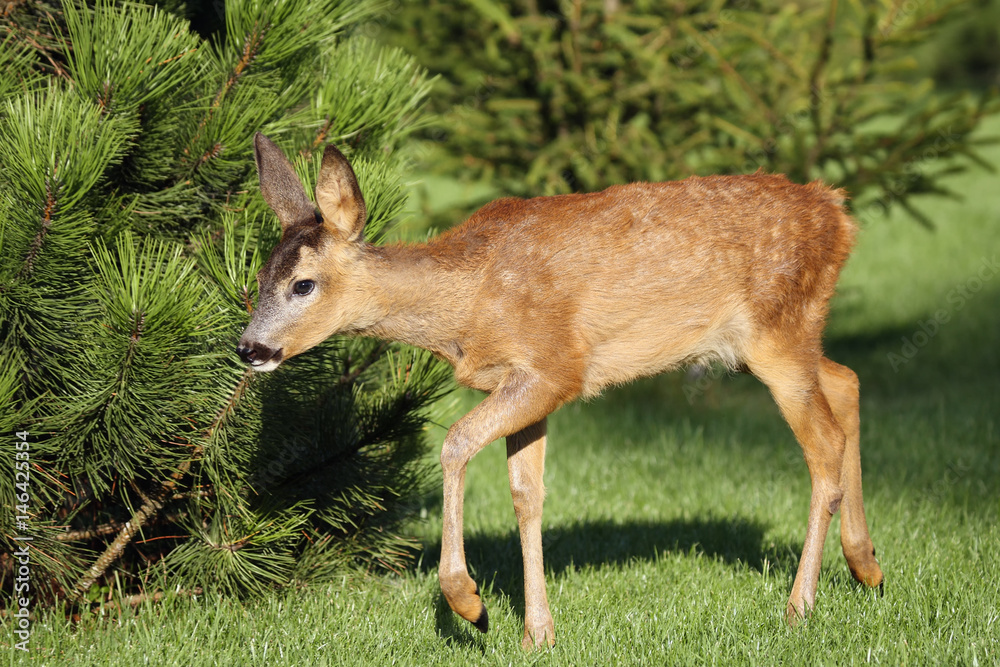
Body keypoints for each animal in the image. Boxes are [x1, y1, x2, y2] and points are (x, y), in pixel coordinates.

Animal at [237, 133, 884, 649]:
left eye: (303, 285)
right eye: (259, 278)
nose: (249, 349)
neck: (466, 305)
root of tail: (839, 212)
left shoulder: (554, 369)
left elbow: (455, 443)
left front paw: (470, 604)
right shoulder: (524, 385)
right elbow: (527, 494)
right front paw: (538, 633)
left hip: (777, 330)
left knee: (823, 444)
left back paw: (799, 608)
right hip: (768, 344)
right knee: (846, 380)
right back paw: (867, 565)